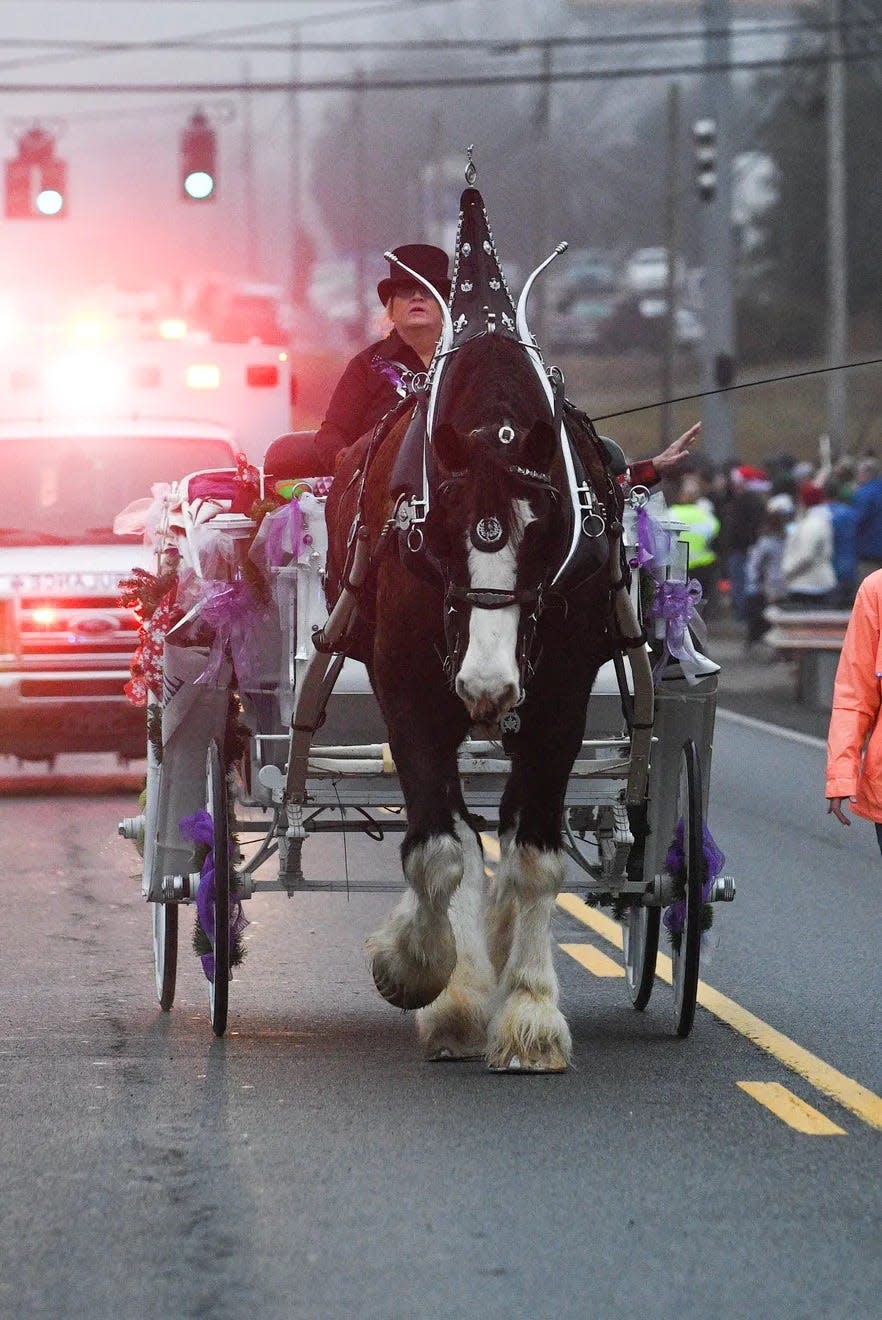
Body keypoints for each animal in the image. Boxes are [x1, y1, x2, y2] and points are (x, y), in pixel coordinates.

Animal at [326, 330, 620, 1071]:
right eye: (439, 529)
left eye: (546, 530)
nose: (487, 685)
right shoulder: (410, 700)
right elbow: (440, 851)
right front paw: (419, 972)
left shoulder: (560, 709)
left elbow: (535, 858)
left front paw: (530, 1010)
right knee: (458, 831)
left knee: (508, 831)